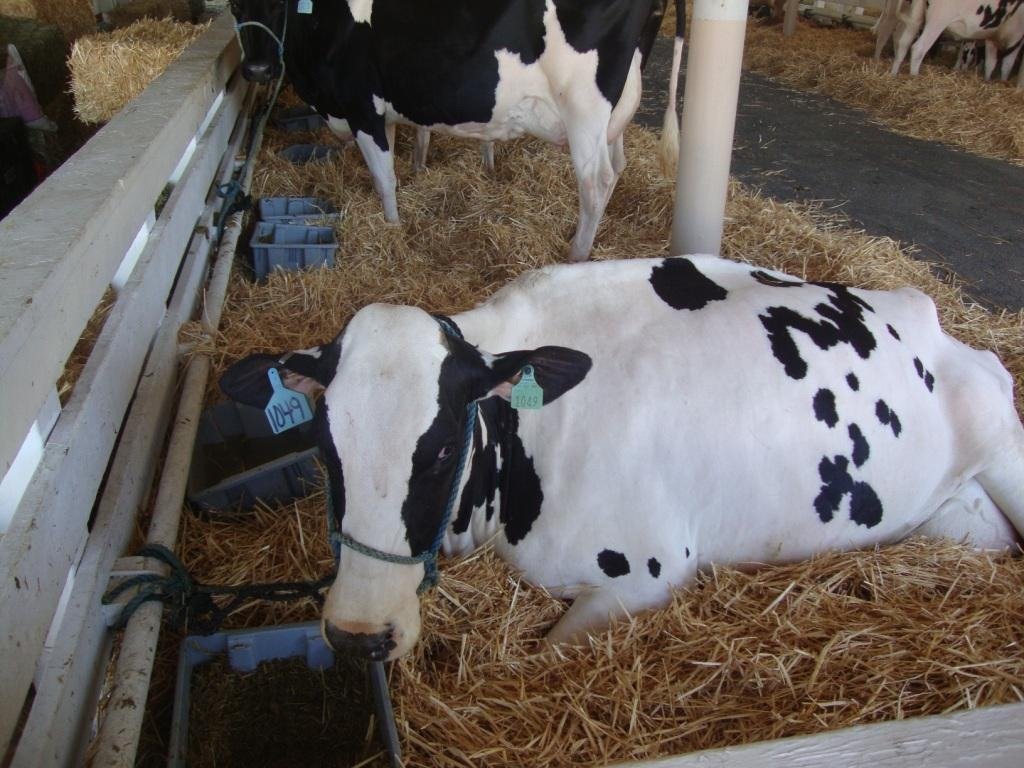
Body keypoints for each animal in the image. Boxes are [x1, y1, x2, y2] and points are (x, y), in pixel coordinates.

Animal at [220, 256, 1024, 661]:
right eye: (326, 447)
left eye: (444, 443)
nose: (358, 635)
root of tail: (924, 310)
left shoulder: (648, 573)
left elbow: (539, 653)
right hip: (955, 521)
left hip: (1005, 445)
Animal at [229, 0, 686, 261]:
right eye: (235, 4)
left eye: (282, 2)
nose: (256, 69)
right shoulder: (384, 112)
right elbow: (407, 150)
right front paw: (416, 174)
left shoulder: (361, 108)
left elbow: (384, 179)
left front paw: (392, 228)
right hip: (614, 110)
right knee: (619, 164)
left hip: (584, 109)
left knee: (596, 182)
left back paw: (576, 253)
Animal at [890, 0, 1024, 84]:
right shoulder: (1017, 38)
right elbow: (1007, 65)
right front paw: (1003, 81)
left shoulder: (991, 38)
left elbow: (990, 63)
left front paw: (987, 81)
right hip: (938, 19)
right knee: (919, 47)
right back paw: (914, 77)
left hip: (916, 16)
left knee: (903, 43)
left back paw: (893, 74)